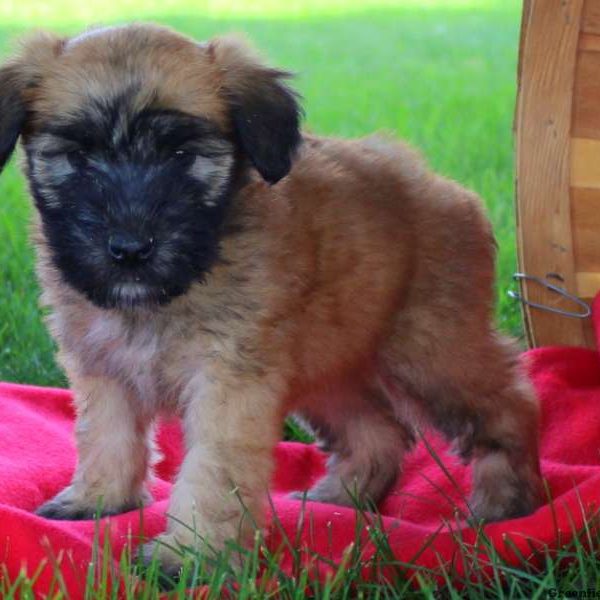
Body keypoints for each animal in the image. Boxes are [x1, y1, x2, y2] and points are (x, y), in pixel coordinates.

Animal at [0, 24, 544, 576]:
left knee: (509, 406)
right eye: (78, 157)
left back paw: (506, 503)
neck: (166, 298)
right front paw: (99, 500)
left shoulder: (228, 381)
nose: (130, 249)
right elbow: (105, 437)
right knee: (379, 431)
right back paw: (341, 500)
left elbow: (212, 469)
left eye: (181, 155)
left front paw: (193, 552)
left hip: (430, 352)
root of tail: (444, 189)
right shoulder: (103, 369)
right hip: (331, 366)